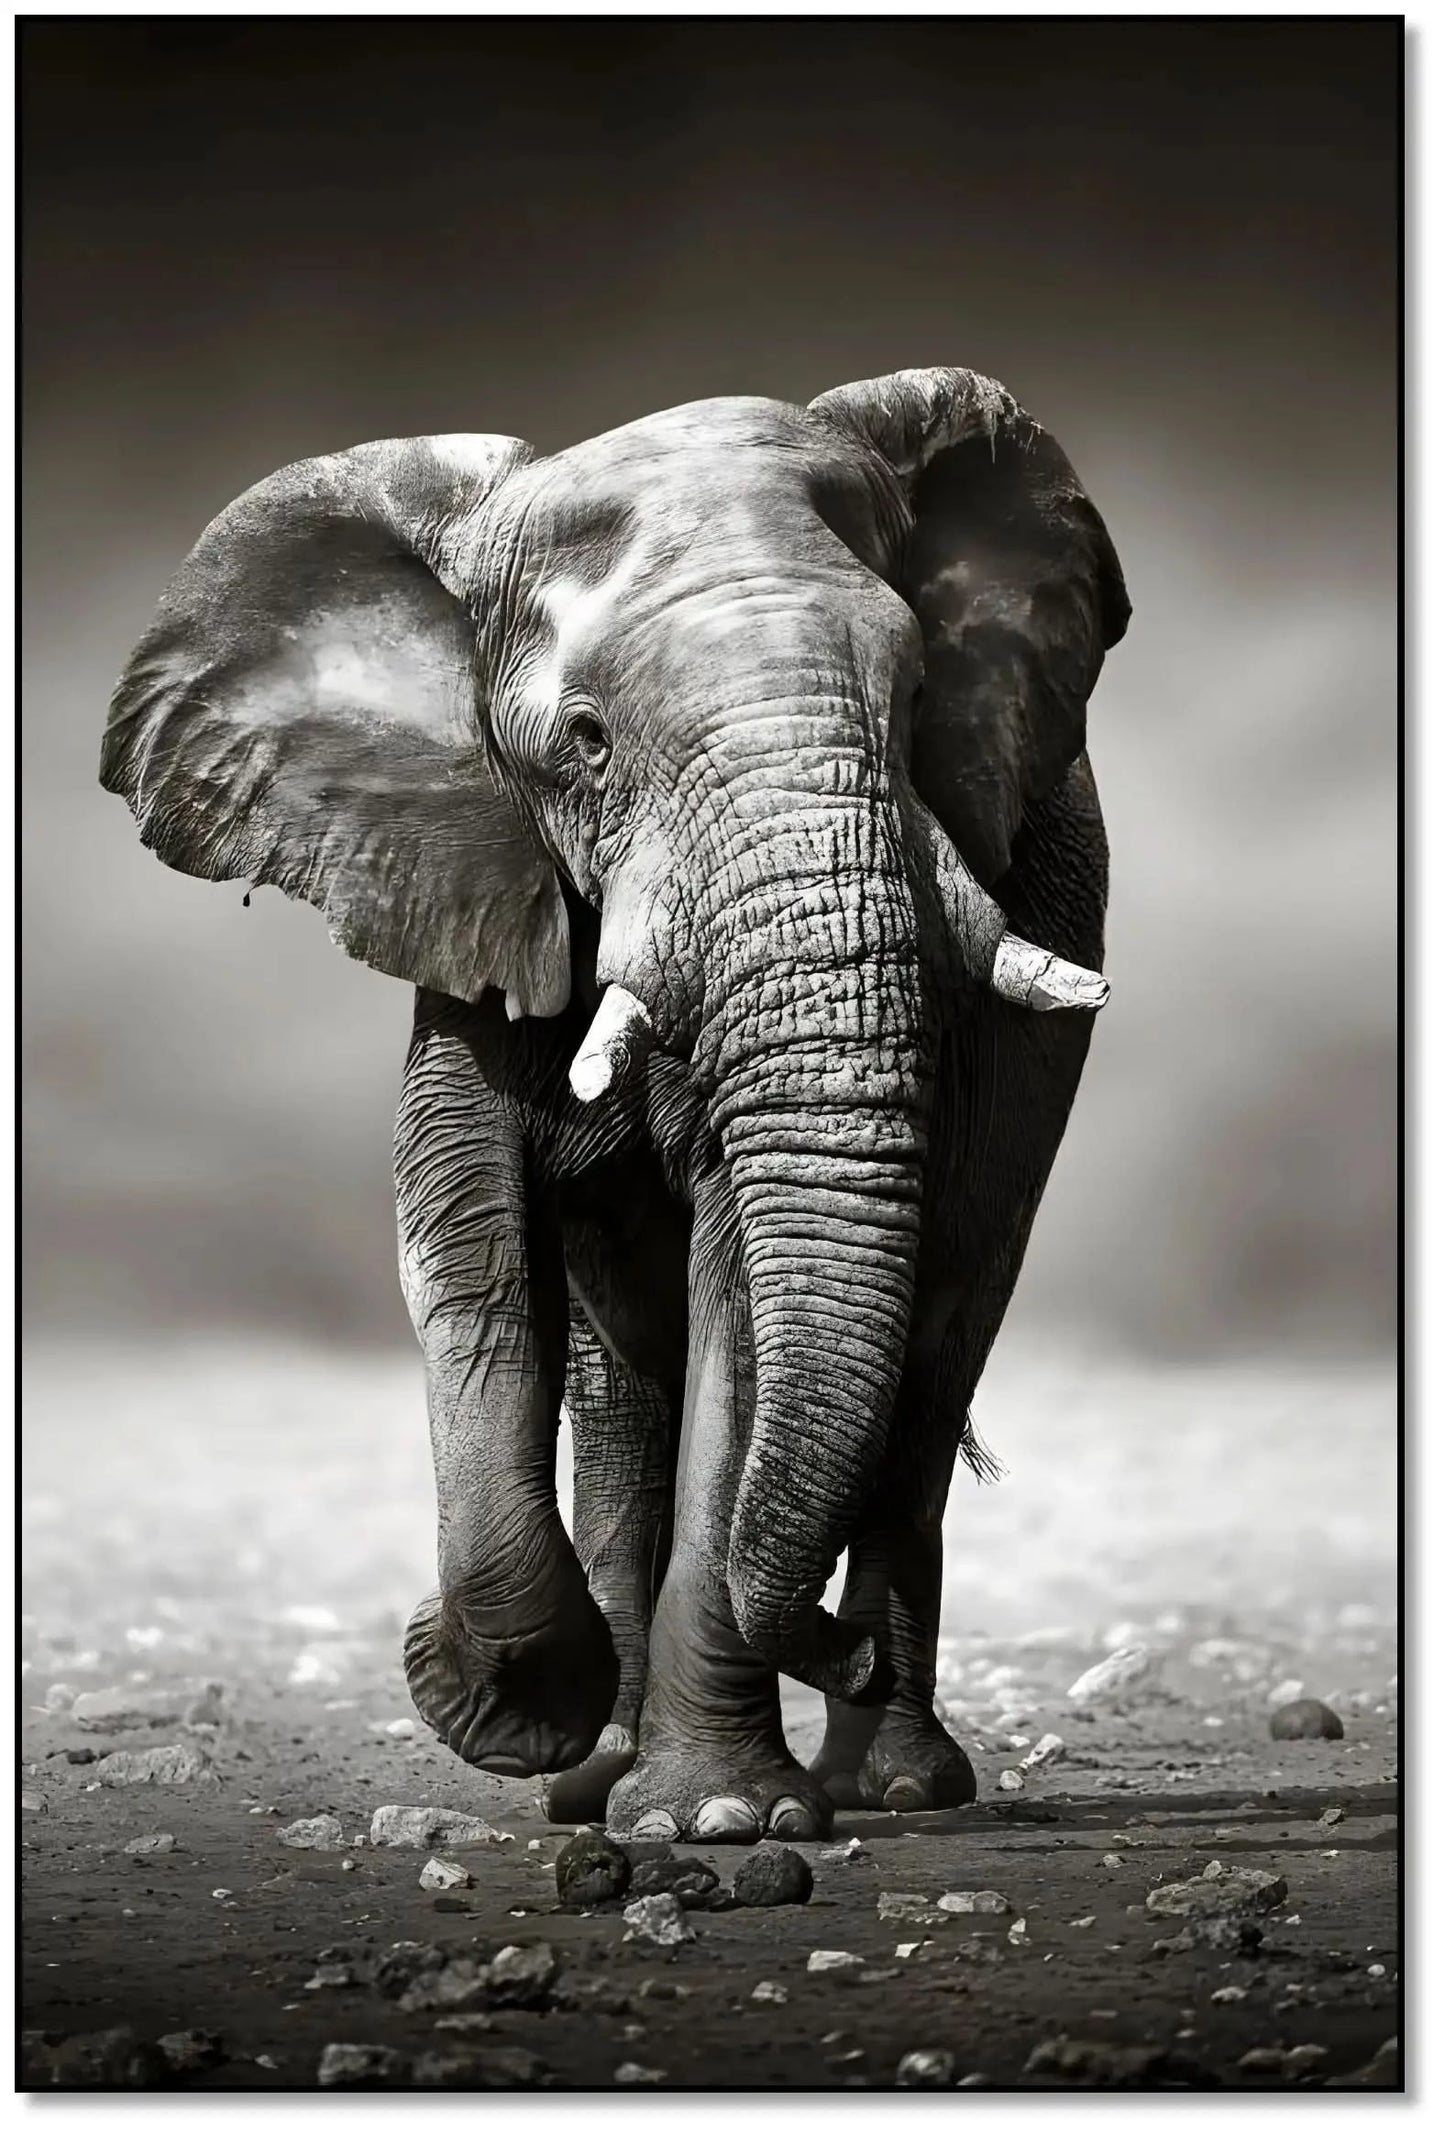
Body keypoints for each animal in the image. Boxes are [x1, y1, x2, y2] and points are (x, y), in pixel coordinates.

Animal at [99, 365, 1128, 1843]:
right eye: (583, 745)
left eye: (920, 692)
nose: (833, 1650)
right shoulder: (469, 873)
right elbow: (465, 1242)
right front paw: (515, 1710)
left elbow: (740, 1288)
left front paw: (722, 1821)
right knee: (623, 1388)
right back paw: (602, 1774)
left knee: (934, 1345)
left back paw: (890, 1784)